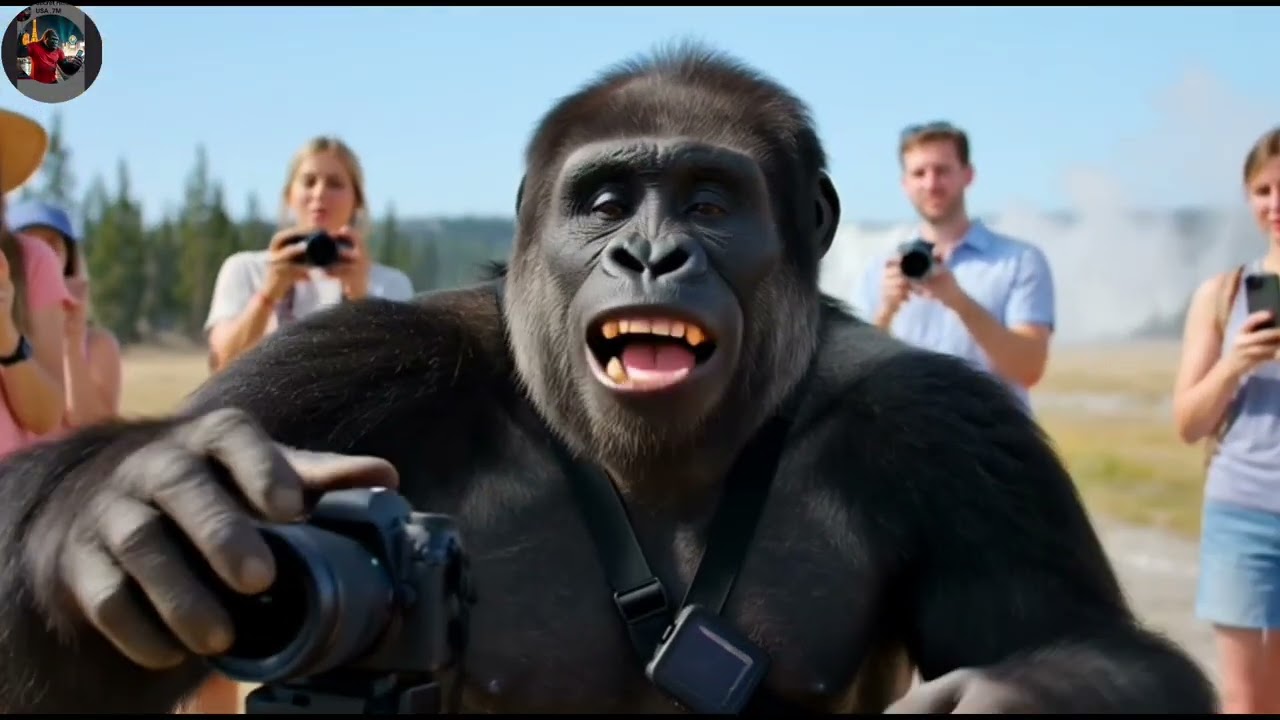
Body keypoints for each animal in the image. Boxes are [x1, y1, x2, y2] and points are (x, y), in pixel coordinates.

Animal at [0, 42, 1217, 714]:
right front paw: (130, 508)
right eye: (604, 200)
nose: (649, 256)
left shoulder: (952, 433)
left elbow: (1085, 643)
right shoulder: (361, 365)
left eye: (708, 200)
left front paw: (1013, 699)